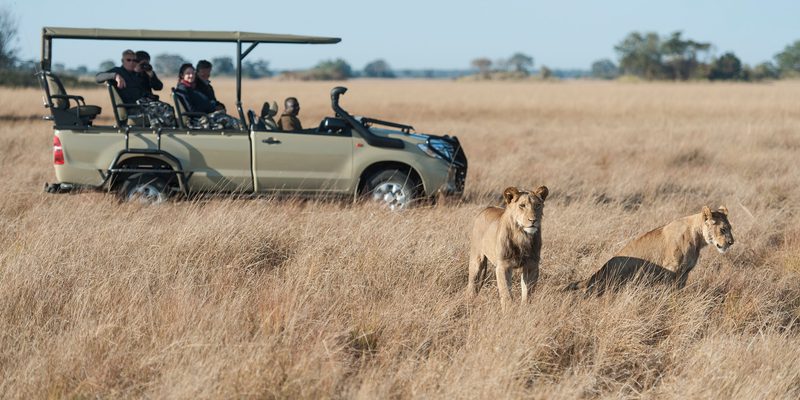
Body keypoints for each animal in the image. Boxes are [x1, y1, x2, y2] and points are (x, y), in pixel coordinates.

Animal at [566, 205, 734, 295]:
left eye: (730, 228)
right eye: (723, 229)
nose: (731, 242)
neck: (698, 239)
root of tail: (597, 273)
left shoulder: (684, 273)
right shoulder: (671, 270)